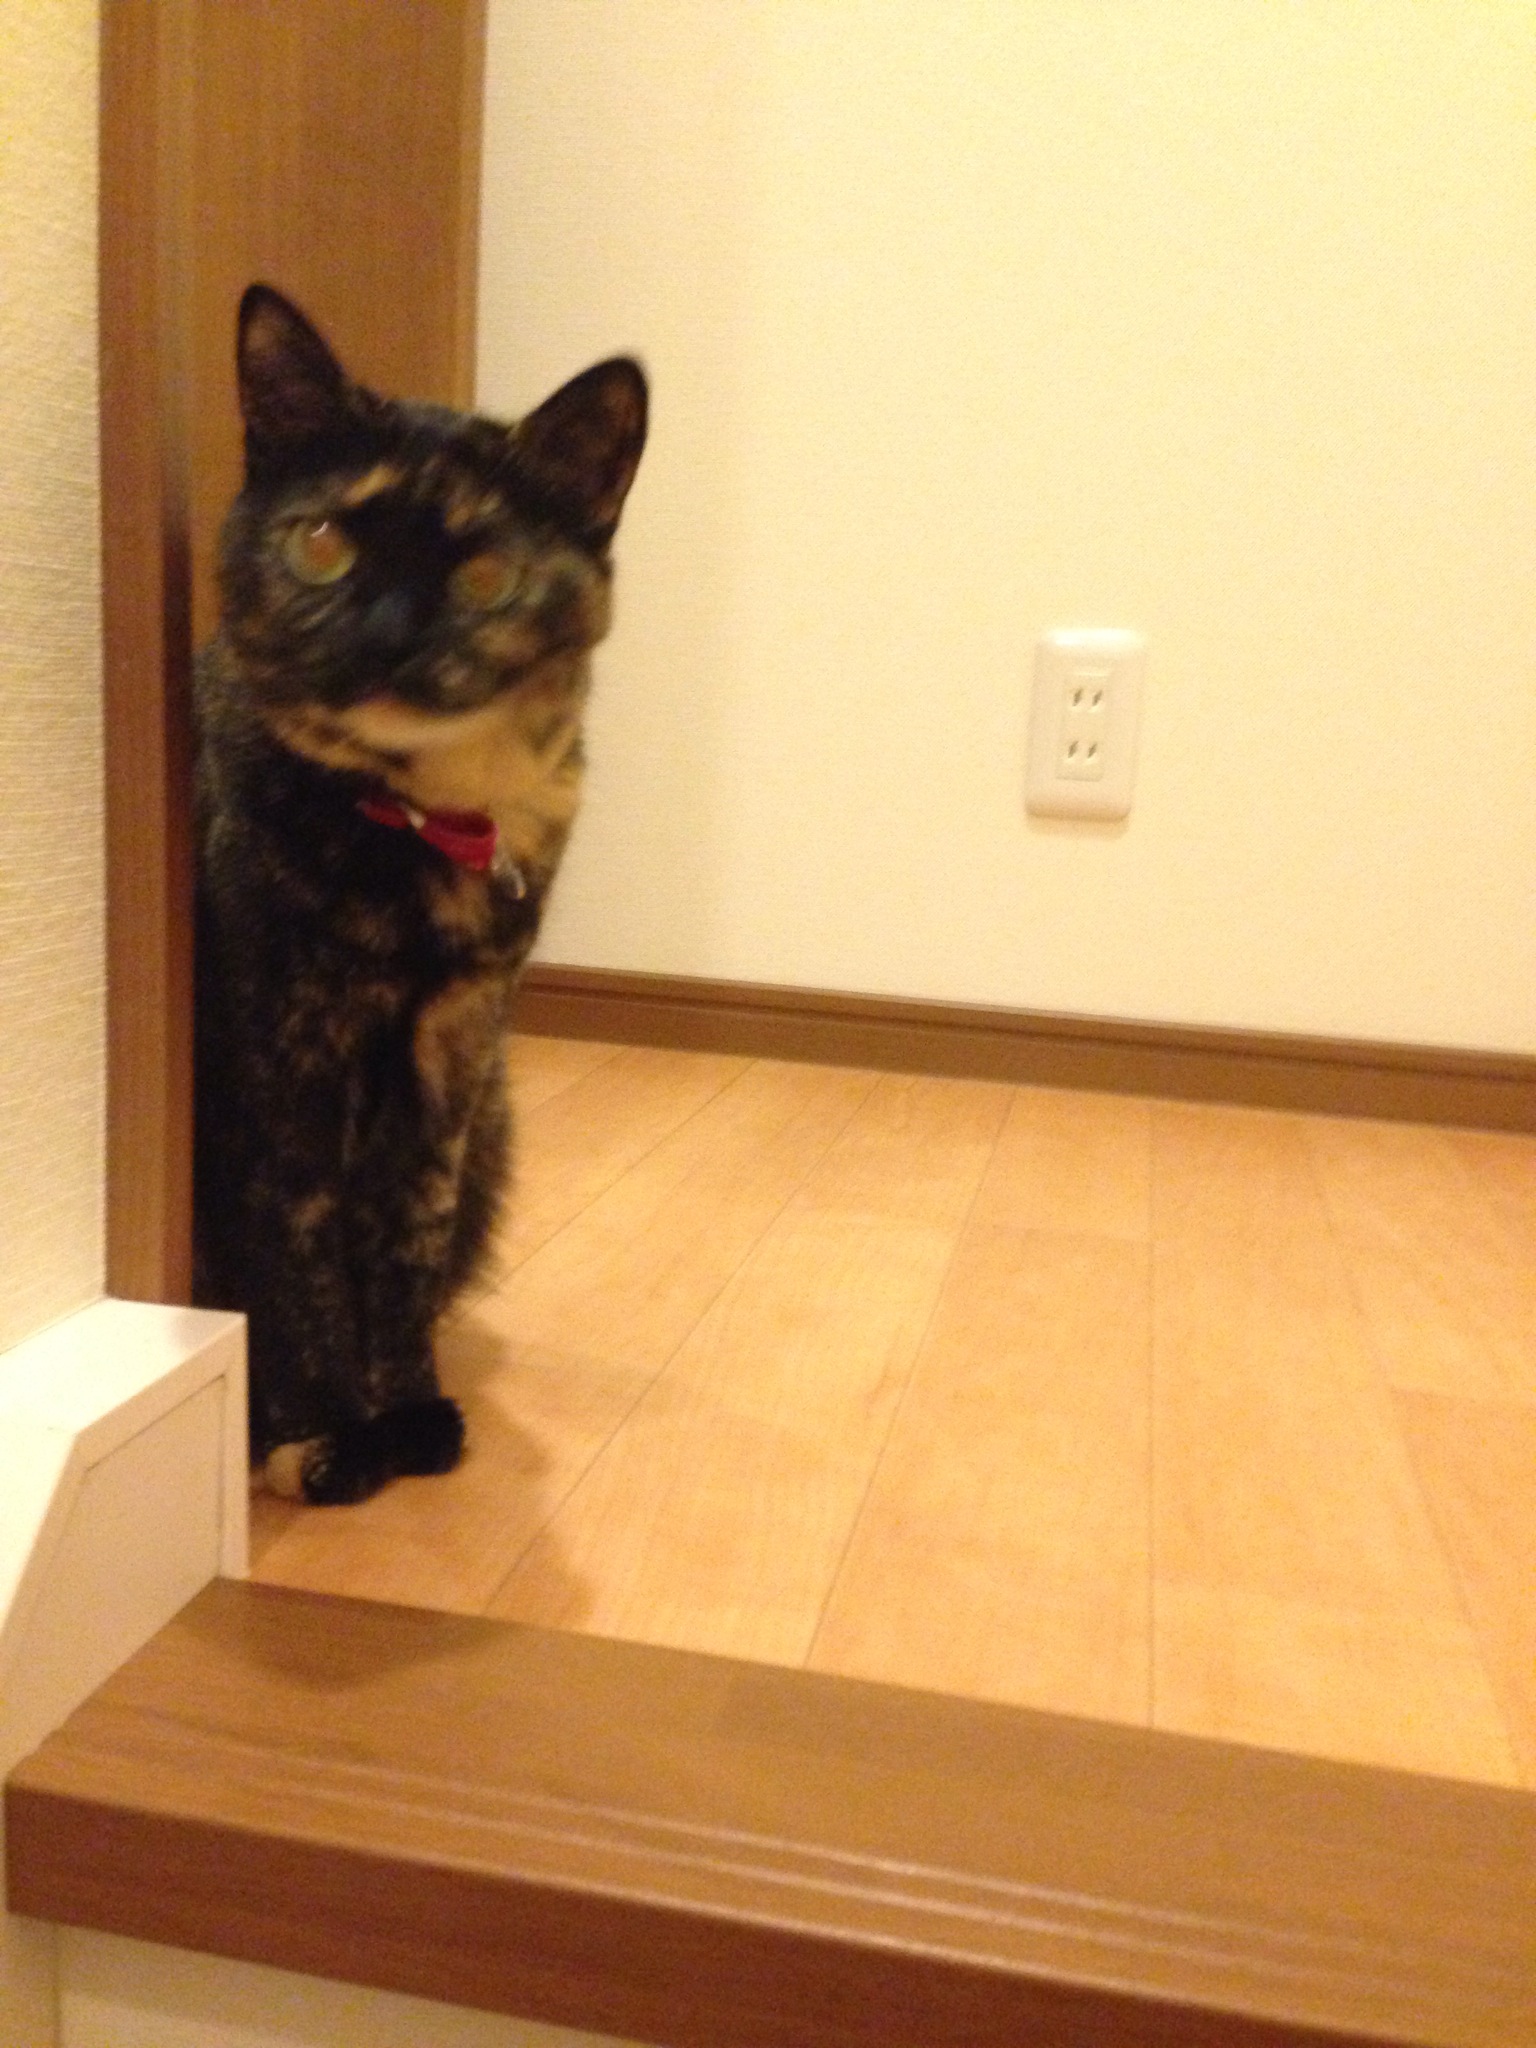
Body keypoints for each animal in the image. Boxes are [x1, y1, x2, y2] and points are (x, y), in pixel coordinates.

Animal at [193, 284, 646, 1505]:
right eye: (323, 543)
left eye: (485, 575)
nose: (388, 638)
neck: (419, 820)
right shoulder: (287, 1048)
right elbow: (301, 1238)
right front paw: (323, 1429)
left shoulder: (454, 1045)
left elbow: (406, 1230)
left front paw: (405, 1409)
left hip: (497, 1118)